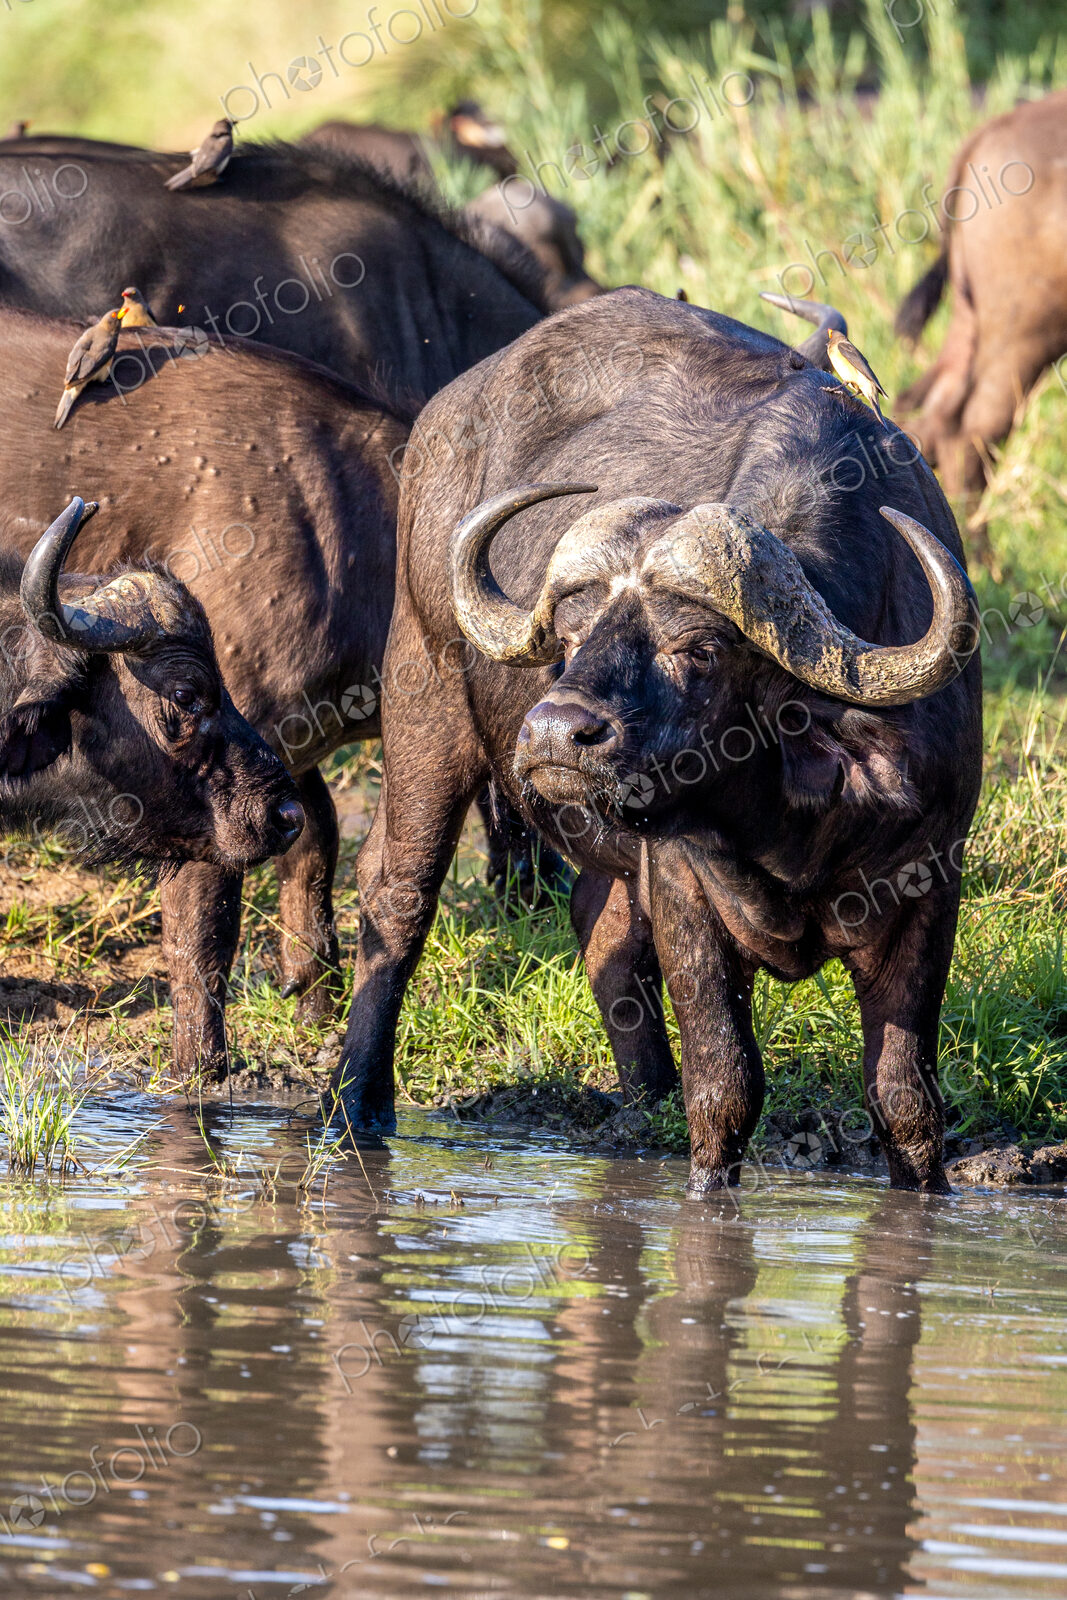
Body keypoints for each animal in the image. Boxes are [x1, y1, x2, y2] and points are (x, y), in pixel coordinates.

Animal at [328, 288, 982, 1196]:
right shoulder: (682, 891)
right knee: (396, 895)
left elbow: (906, 1102)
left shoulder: (928, 888)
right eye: (572, 633)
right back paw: (356, 1107)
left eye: (697, 649)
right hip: (422, 697)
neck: (790, 812)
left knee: (598, 925)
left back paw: (644, 1107)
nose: (553, 734)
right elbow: (726, 1088)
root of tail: (438, 420)